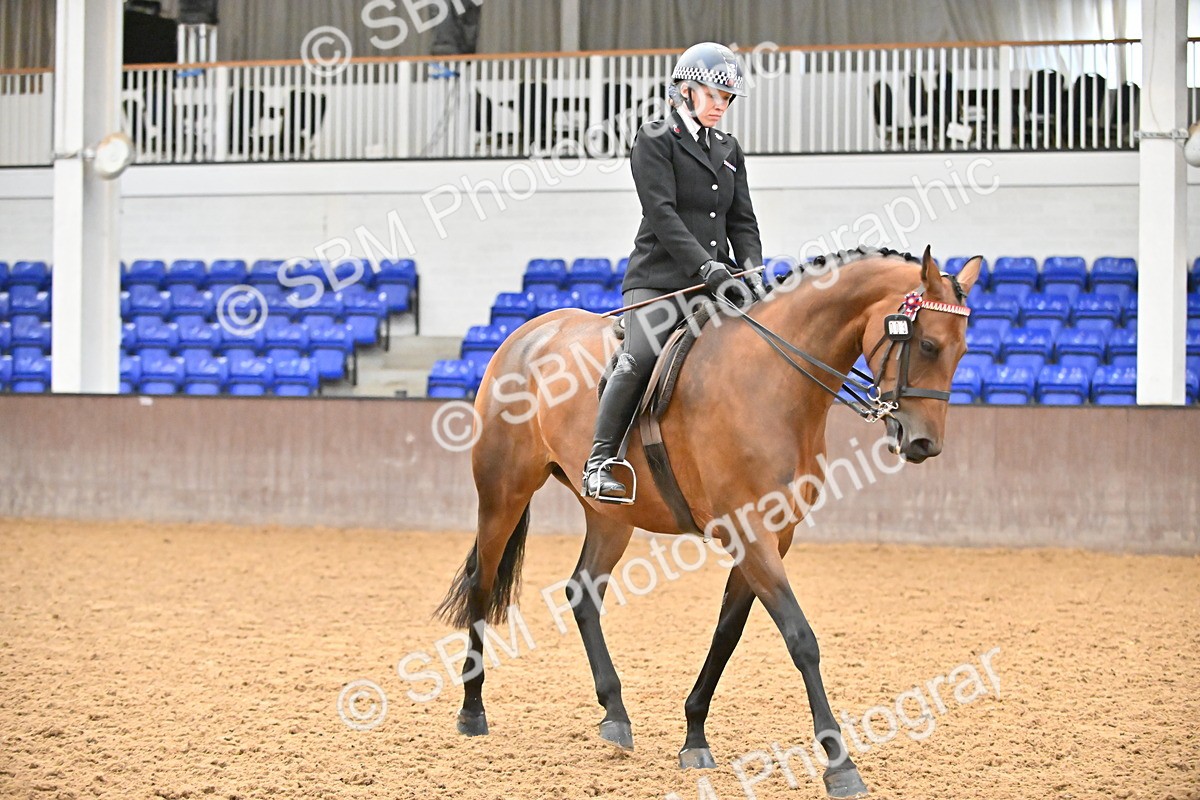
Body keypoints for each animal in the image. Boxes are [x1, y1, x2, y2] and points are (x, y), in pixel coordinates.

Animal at [436, 247, 983, 798]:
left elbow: (727, 633)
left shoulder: (773, 536)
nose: (923, 443)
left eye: (961, 351)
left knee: (583, 592)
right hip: (502, 493)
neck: (771, 380)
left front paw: (695, 736)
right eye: (928, 344)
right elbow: (801, 639)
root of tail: (528, 333)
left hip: (611, 516)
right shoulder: (749, 533)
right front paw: (839, 763)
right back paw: (472, 711)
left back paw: (615, 714)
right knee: (483, 584)